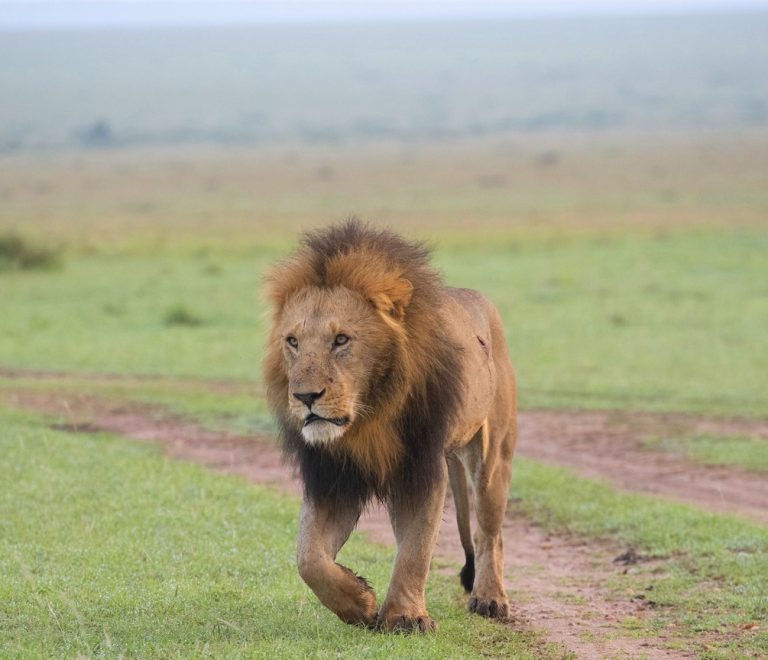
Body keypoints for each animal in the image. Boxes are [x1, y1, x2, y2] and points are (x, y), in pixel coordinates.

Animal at [263, 220, 516, 632]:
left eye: (341, 339)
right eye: (293, 341)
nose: (305, 396)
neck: (369, 414)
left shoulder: (421, 470)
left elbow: (416, 549)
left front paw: (406, 618)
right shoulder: (332, 477)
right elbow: (309, 558)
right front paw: (359, 603)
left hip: (493, 455)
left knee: (489, 532)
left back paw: (490, 598)